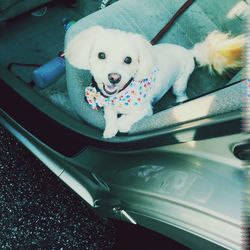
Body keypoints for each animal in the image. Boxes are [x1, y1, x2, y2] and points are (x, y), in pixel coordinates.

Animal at [65, 26, 245, 139]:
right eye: (101, 55)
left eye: (128, 60)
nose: (114, 77)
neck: (123, 94)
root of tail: (188, 51)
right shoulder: (109, 102)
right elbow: (110, 115)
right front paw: (110, 129)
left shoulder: (146, 111)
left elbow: (126, 120)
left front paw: (122, 125)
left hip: (180, 82)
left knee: (182, 93)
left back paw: (180, 101)